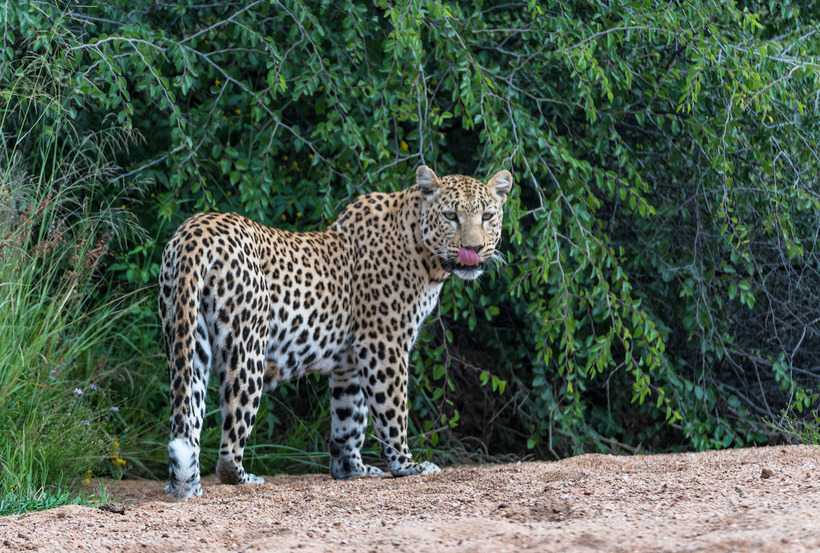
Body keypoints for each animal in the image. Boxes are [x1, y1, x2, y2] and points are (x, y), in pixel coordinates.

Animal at [159, 164, 512, 500]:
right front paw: (406, 465)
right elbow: (392, 408)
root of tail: (194, 231)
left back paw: (186, 483)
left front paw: (351, 469)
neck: (424, 255)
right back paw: (242, 477)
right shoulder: (383, 343)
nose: (474, 249)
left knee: (187, 413)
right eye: (451, 216)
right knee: (230, 442)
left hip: (187, 337)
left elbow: (349, 416)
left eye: (487, 216)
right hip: (247, 345)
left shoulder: (350, 362)